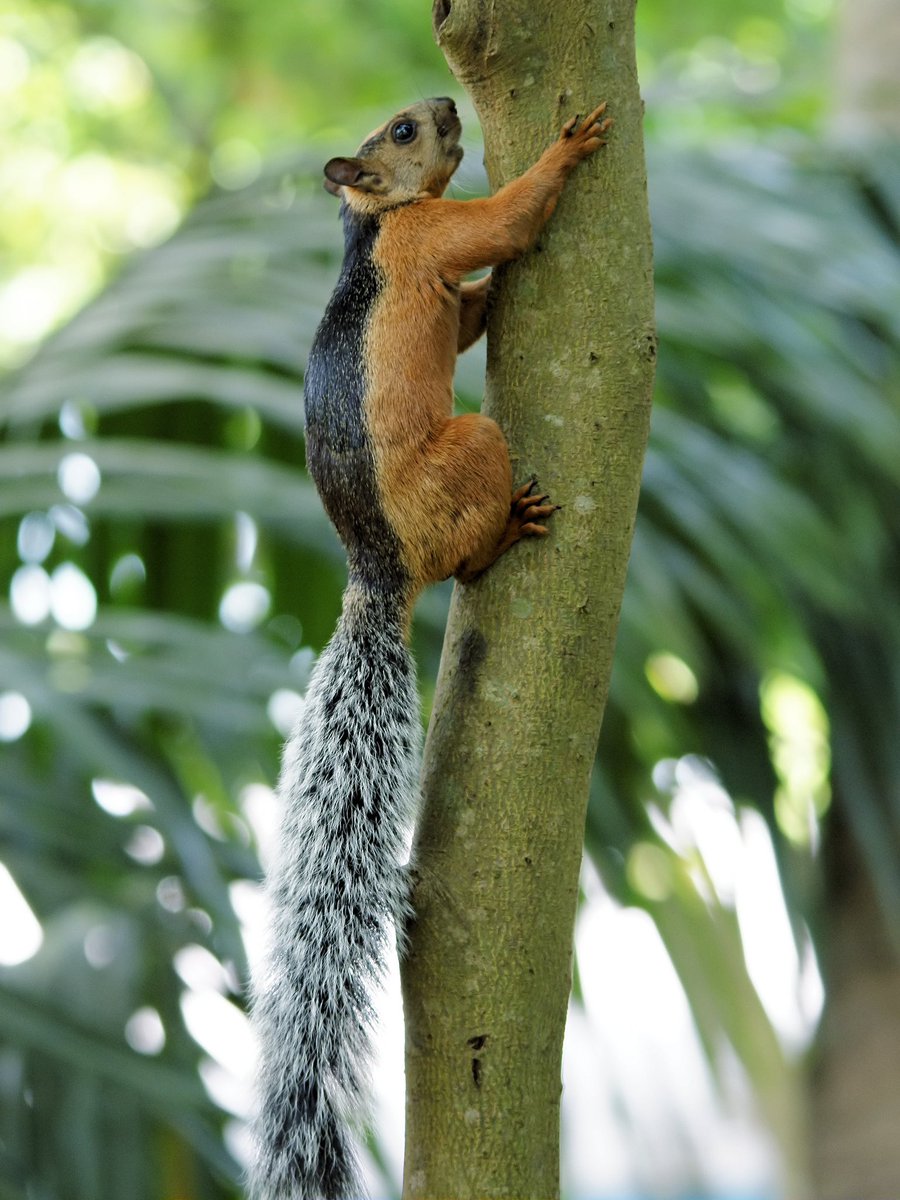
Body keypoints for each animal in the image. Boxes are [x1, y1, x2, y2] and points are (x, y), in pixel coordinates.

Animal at [249, 96, 611, 1200]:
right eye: (404, 131)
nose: (450, 106)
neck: (373, 228)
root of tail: (382, 572)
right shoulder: (429, 237)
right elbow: (501, 222)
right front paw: (570, 148)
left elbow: (471, 306)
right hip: (474, 452)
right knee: (475, 534)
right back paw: (507, 531)